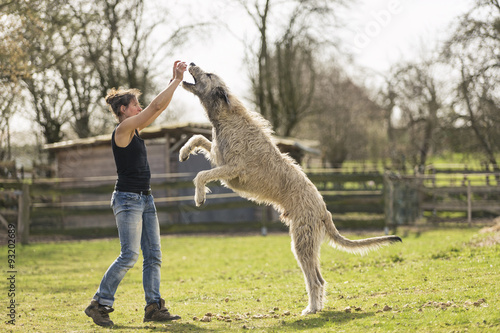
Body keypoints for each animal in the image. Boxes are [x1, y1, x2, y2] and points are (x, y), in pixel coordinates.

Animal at [180, 62, 402, 314]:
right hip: (308, 242)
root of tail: (324, 210)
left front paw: (199, 196)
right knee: (320, 279)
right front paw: (184, 151)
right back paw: (316, 307)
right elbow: (199, 138)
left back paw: (311, 309)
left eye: (208, 74)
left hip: (302, 241)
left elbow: (201, 174)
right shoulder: (219, 157)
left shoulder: (233, 168)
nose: (191, 63)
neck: (226, 116)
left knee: (315, 280)